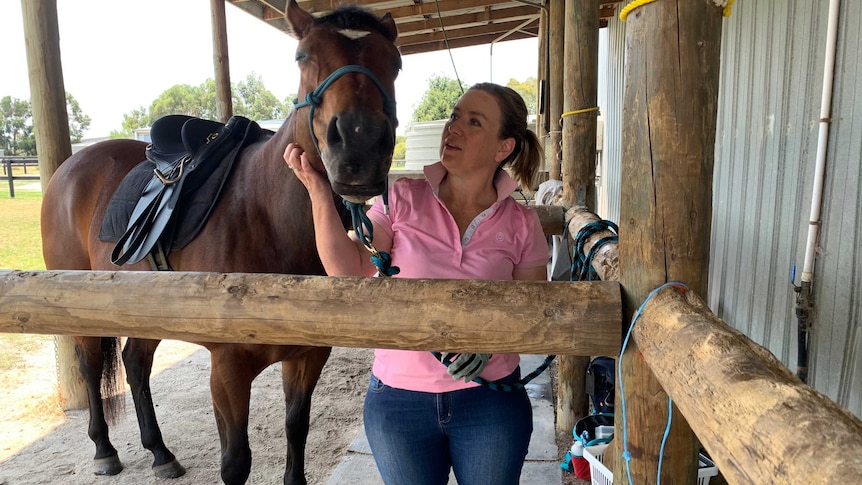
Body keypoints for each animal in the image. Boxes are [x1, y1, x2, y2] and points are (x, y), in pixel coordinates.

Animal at [40, 1, 402, 482]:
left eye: (395, 63)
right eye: (303, 56)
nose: (359, 148)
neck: (267, 220)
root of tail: (71, 165)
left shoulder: (308, 356)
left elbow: (296, 428)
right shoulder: (228, 369)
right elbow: (236, 462)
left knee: (135, 364)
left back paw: (160, 452)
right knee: (91, 363)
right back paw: (104, 449)